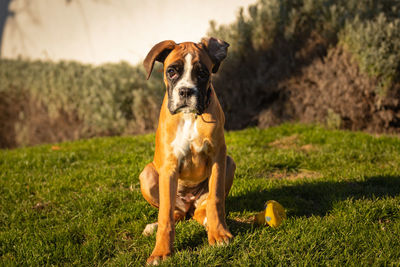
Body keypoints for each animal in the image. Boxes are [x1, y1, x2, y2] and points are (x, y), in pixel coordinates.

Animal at [140, 37, 236, 266]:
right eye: (171, 71)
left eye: (202, 73)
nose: (185, 91)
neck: (190, 116)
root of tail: (190, 204)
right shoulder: (170, 167)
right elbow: (165, 216)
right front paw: (161, 252)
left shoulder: (218, 157)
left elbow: (216, 200)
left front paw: (218, 233)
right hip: (147, 174)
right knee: (176, 213)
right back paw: (153, 227)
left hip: (229, 162)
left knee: (203, 207)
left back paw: (208, 220)